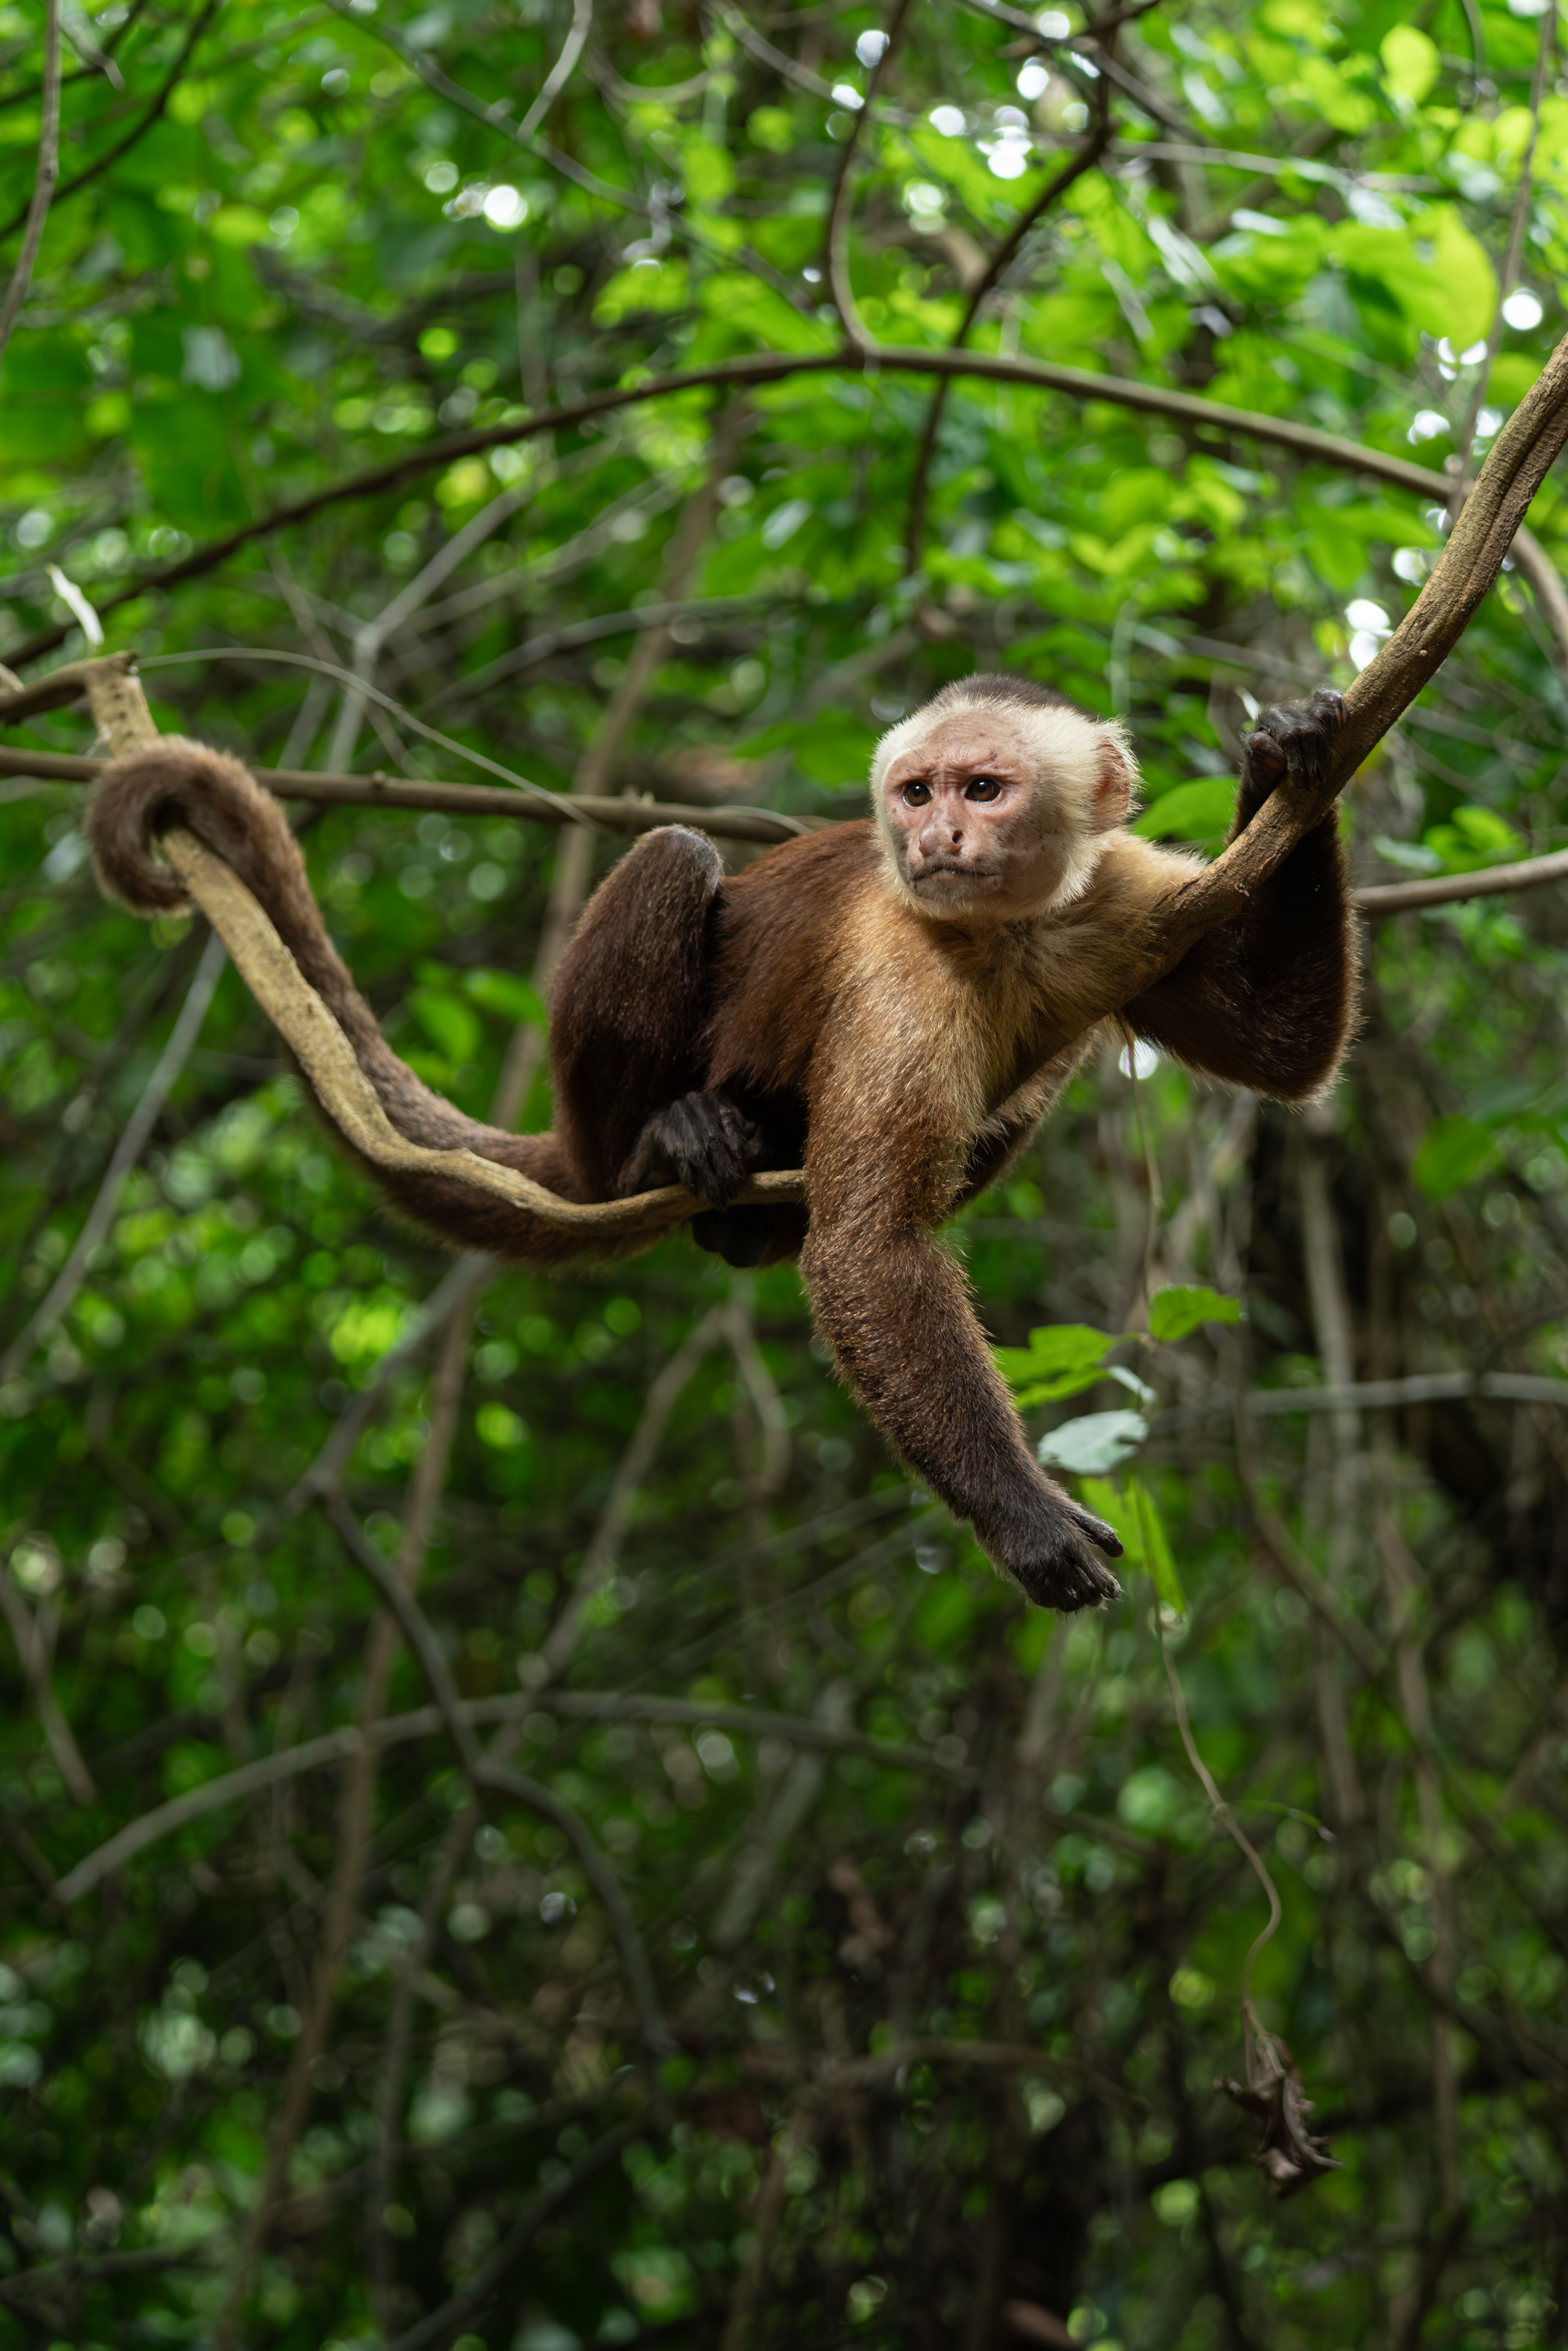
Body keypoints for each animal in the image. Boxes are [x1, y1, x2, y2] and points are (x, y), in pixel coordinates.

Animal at [86, 674, 1355, 1614]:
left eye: (985, 789)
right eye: (915, 792)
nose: (937, 834)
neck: (1011, 927)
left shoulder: (1127, 897)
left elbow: (1281, 1052)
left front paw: (1287, 759)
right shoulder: (902, 969)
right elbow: (865, 1247)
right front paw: (1025, 1520)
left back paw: (749, 1219)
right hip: (596, 1111)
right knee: (675, 860)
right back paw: (667, 1150)